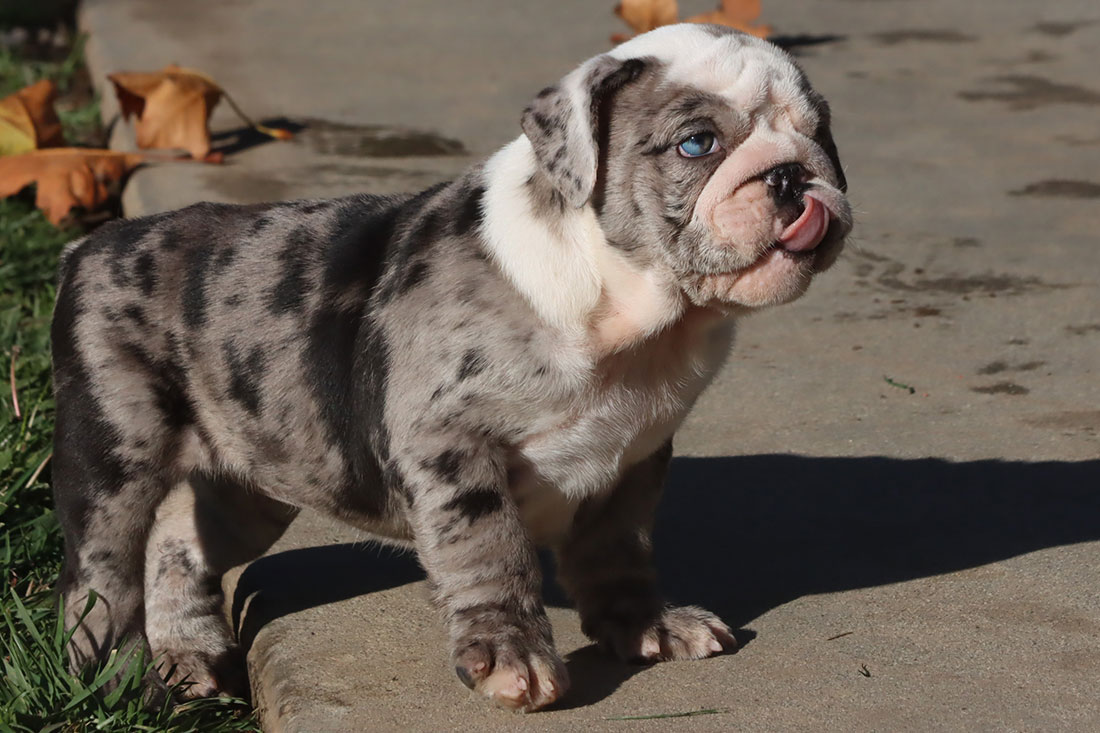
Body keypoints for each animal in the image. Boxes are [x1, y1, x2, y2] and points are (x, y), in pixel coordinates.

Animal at [51, 22, 849, 708]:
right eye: (696, 143)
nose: (791, 176)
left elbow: (617, 548)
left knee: (179, 543)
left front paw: (647, 625)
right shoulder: (451, 444)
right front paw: (512, 656)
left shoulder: (634, 457)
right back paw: (116, 679)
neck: (632, 312)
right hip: (113, 453)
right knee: (101, 573)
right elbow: (489, 550)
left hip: (249, 481)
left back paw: (187, 654)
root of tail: (92, 245)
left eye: (821, 133)